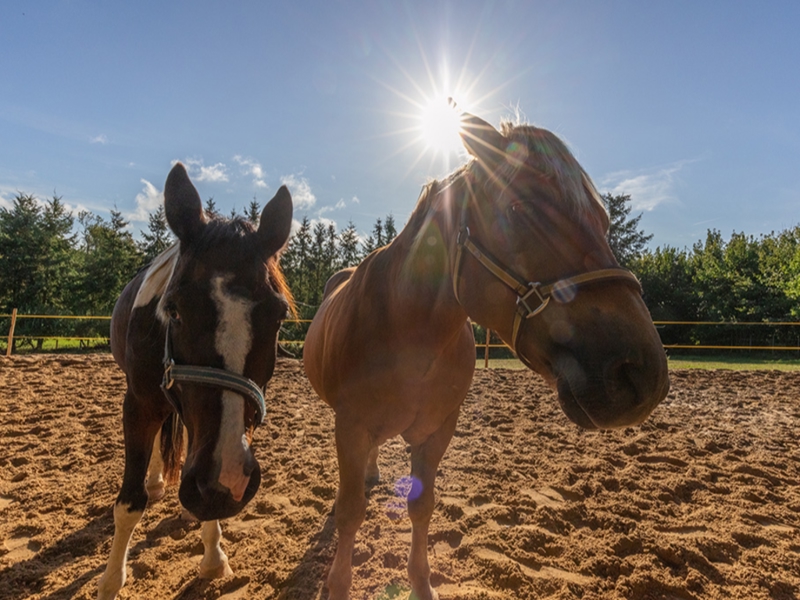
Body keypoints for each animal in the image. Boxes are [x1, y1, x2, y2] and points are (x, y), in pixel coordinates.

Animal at [97, 163, 294, 600]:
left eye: (278, 317)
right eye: (174, 309)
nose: (229, 480)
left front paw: (212, 554)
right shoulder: (138, 404)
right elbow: (129, 502)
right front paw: (111, 580)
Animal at [303, 111, 670, 599]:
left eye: (604, 221)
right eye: (517, 211)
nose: (643, 375)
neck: (408, 335)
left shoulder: (438, 430)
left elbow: (422, 505)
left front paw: (422, 584)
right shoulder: (350, 425)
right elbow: (349, 512)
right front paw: (338, 582)